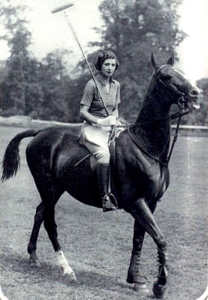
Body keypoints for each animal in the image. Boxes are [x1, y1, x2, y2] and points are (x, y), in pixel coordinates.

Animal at [0, 53, 201, 298]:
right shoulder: (136, 202)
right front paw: (159, 285)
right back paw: (67, 269)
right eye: (167, 76)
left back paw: (33, 256)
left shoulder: (150, 203)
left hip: (57, 188)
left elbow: (139, 239)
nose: (196, 93)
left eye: (180, 72)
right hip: (46, 185)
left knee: (40, 213)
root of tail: (40, 132)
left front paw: (135, 279)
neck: (146, 147)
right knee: (50, 221)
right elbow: (160, 239)